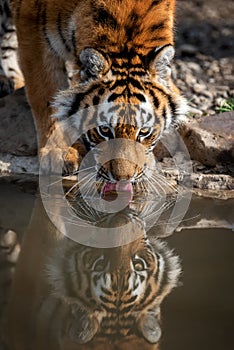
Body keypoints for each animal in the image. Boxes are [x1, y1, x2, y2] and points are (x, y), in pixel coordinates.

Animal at [11, 0, 187, 191]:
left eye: (144, 131)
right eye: (104, 130)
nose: (123, 179)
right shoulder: (32, 26)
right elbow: (46, 95)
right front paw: (59, 151)